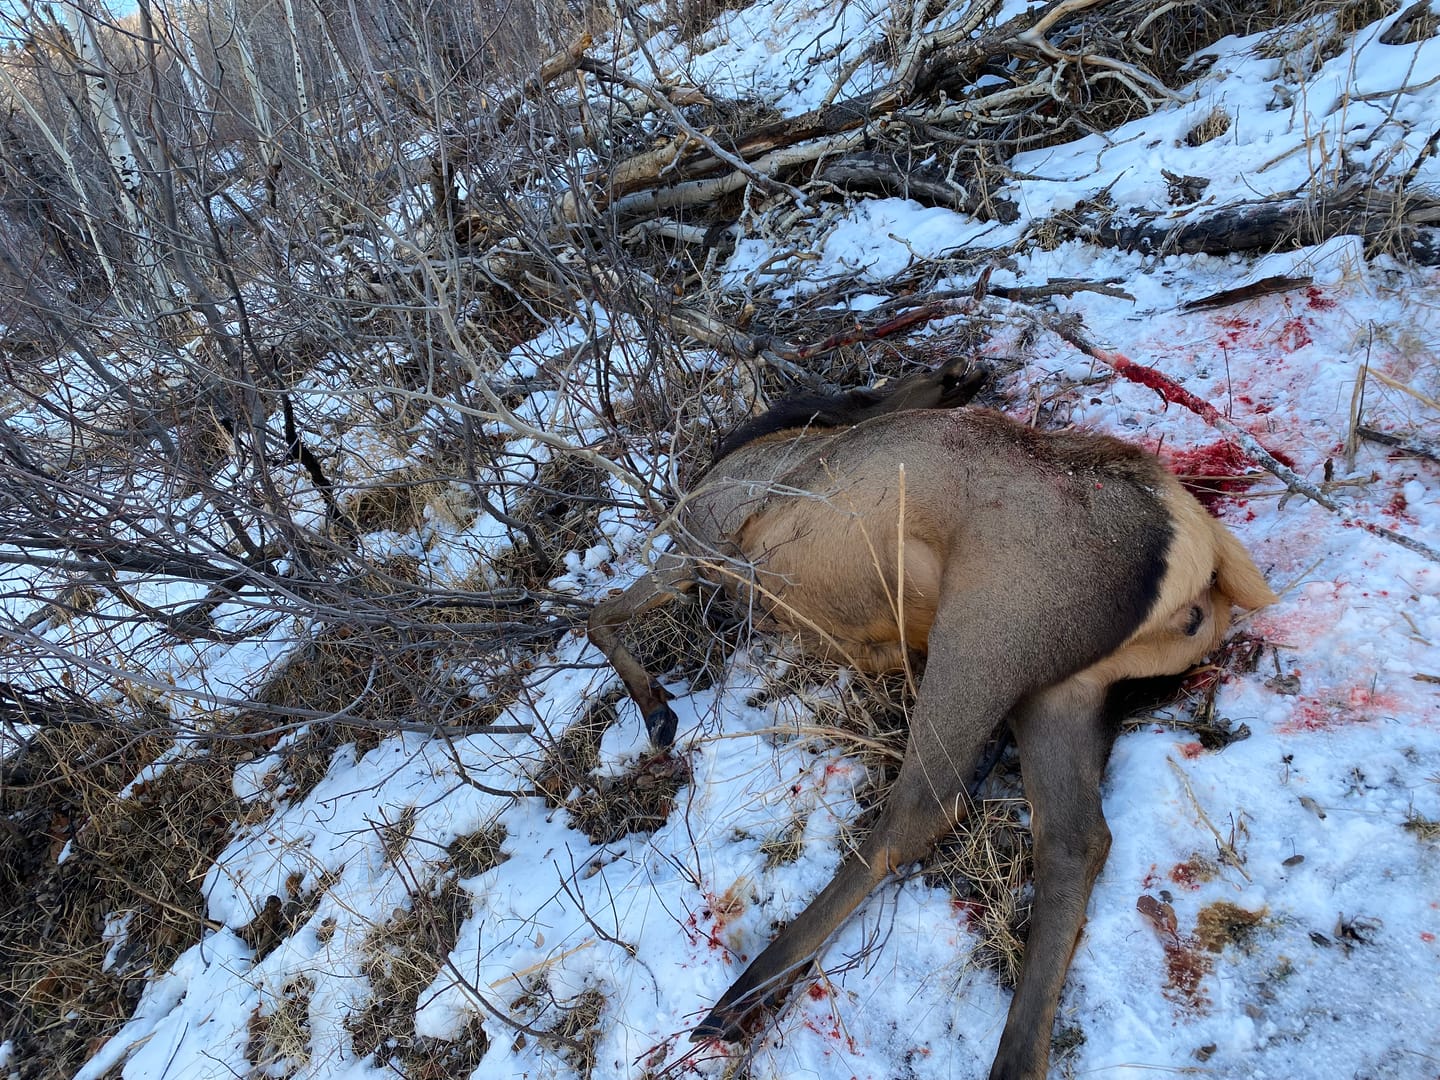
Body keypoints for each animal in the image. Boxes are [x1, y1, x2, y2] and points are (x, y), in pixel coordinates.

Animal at [586, 358, 1275, 1080]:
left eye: (869, 387)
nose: (958, 372)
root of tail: (1208, 554)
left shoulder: (707, 536)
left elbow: (595, 613)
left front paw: (658, 713)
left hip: (988, 629)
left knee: (923, 808)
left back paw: (748, 990)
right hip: (1061, 691)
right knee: (1075, 839)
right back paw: (1015, 1057)